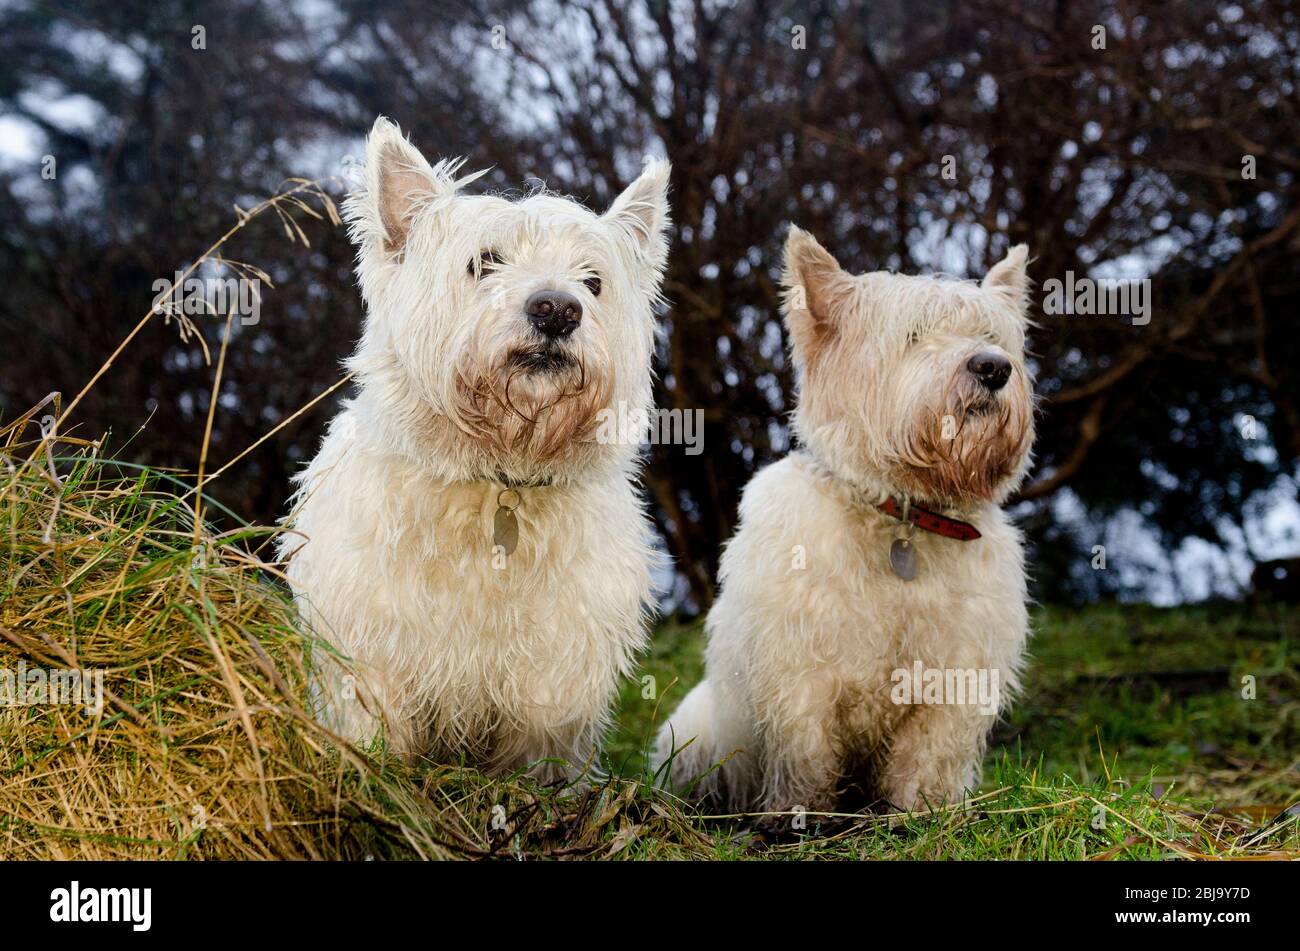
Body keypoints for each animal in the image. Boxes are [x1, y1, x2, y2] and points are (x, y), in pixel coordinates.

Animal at [282, 116, 670, 779]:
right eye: (484, 262)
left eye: (593, 282)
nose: (557, 310)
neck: (497, 478)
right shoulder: (369, 647)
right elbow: (372, 729)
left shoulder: (557, 668)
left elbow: (543, 747)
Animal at [655, 228, 1040, 815]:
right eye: (914, 336)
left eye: (991, 335)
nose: (994, 367)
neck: (901, 517)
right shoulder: (800, 673)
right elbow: (806, 751)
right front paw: (802, 814)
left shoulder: (956, 673)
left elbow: (927, 754)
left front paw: (918, 812)